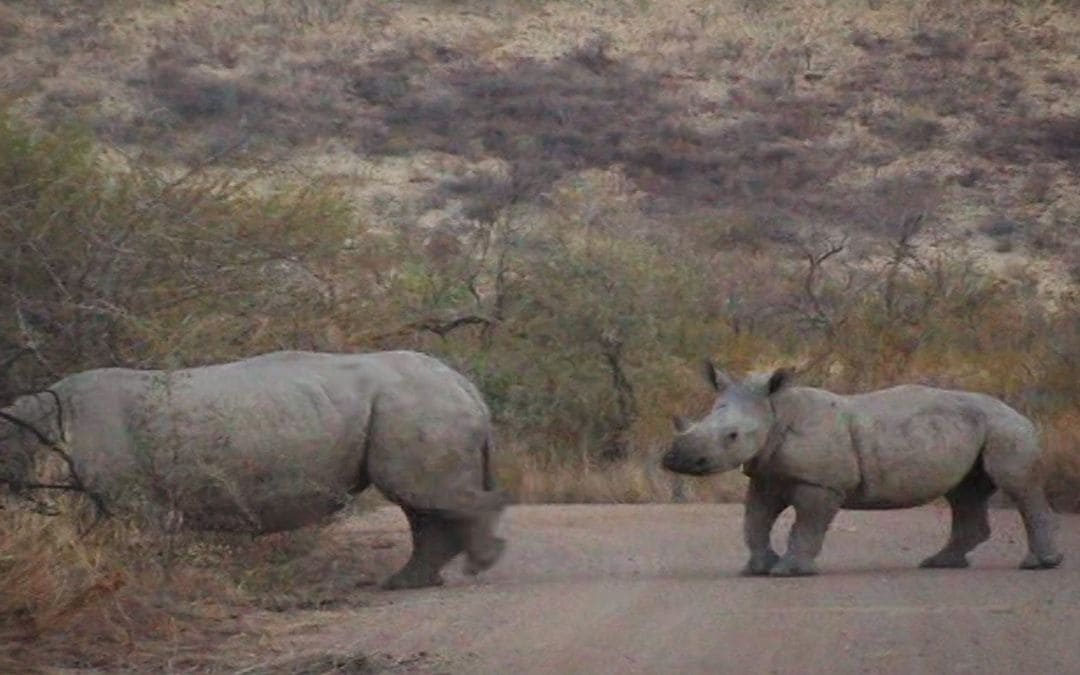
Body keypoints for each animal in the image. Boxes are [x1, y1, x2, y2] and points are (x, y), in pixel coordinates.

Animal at [0, 349, 507, 587]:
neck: (28, 424)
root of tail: (465, 384)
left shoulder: (130, 499)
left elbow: (136, 544)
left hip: (416, 402)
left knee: (420, 493)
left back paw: (479, 564)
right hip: (412, 403)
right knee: (418, 502)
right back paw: (404, 583)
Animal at [660, 360, 1058, 574]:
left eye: (732, 436)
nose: (675, 460)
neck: (775, 410)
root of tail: (1018, 410)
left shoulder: (821, 483)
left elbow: (806, 525)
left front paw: (788, 571)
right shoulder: (765, 475)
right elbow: (753, 521)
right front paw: (758, 569)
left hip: (1006, 427)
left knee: (1018, 486)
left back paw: (1039, 564)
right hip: (974, 428)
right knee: (964, 493)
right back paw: (939, 563)